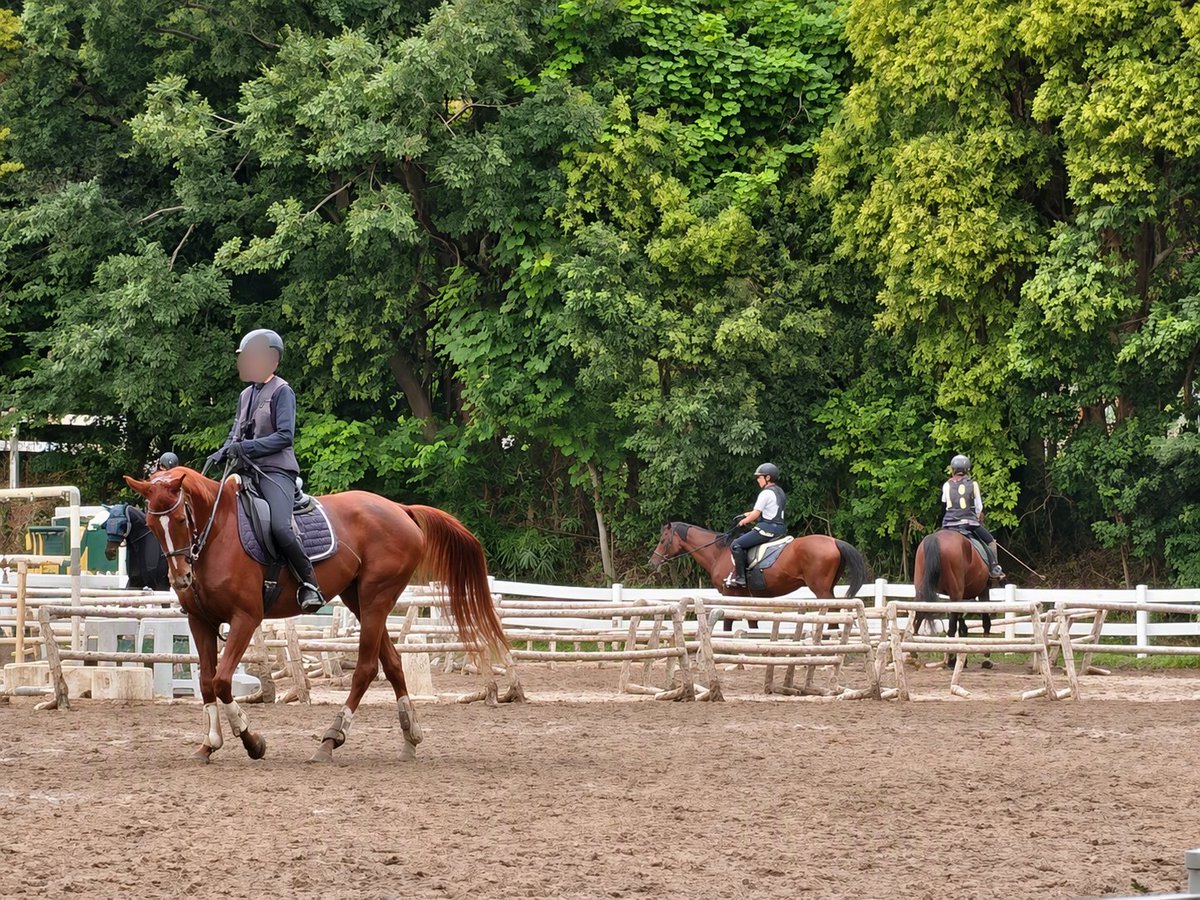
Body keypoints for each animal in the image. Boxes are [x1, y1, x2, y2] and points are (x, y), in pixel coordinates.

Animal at [124, 466, 508, 764]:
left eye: (180, 518)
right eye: (151, 525)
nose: (181, 578)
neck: (217, 533)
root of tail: (400, 509)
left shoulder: (246, 618)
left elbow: (221, 680)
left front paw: (251, 740)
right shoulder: (199, 621)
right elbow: (205, 682)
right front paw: (209, 745)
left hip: (375, 599)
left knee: (366, 669)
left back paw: (331, 739)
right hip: (359, 601)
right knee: (393, 662)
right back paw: (410, 737)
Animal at [648, 522, 869, 604]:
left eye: (663, 540)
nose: (652, 562)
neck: (718, 553)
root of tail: (834, 541)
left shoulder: (731, 594)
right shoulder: (749, 596)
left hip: (821, 590)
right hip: (828, 588)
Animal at [911, 529, 995, 669]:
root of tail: (935, 538)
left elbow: (962, 626)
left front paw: (963, 660)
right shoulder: (983, 590)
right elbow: (985, 622)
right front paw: (986, 657)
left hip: (922, 591)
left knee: (918, 619)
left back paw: (913, 654)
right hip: (955, 594)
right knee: (951, 628)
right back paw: (950, 660)